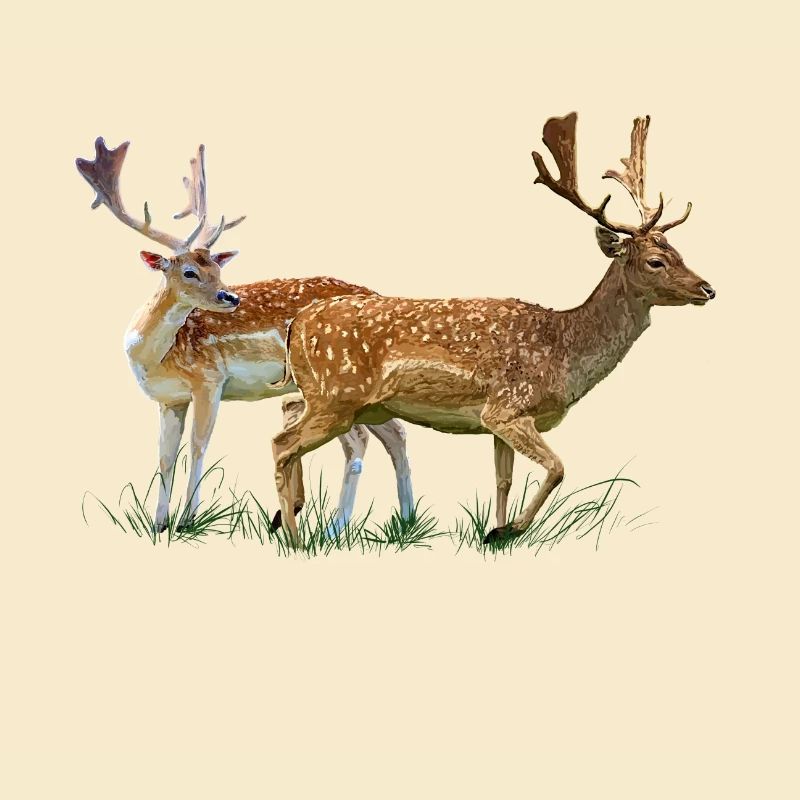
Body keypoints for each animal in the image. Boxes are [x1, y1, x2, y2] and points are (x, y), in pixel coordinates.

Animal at [76, 138, 414, 536]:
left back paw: (335, 528)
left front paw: (187, 520)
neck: (155, 357)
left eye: (218, 268)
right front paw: (158, 524)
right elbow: (165, 456)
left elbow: (198, 446)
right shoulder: (168, 399)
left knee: (360, 441)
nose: (230, 297)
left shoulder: (209, 380)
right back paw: (403, 520)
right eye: (189, 271)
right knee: (395, 432)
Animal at [270, 112, 715, 545]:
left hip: (333, 398)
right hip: (336, 398)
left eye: (680, 252)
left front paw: (495, 531)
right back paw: (294, 538)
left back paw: (288, 520)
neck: (564, 350)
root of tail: (297, 324)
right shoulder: (507, 407)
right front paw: (511, 529)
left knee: (289, 425)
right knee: (282, 446)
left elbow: (503, 480)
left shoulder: (495, 422)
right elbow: (558, 467)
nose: (708, 288)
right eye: (656, 261)